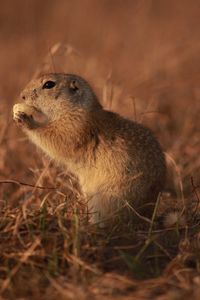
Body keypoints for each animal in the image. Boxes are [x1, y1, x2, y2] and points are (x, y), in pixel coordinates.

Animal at [12, 73, 166, 225]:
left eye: (49, 84)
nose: (22, 95)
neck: (76, 109)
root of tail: (147, 216)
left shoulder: (73, 127)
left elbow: (54, 138)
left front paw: (25, 119)